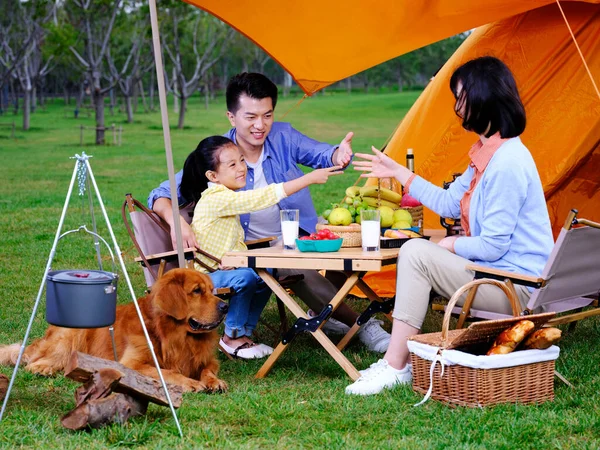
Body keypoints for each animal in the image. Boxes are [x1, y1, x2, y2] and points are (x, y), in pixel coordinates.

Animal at [0, 268, 230, 392]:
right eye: (197, 291)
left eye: (212, 291)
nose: (225, 307)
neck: (170, 335)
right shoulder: (132, 363)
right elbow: (168, 372)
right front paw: (190, 383)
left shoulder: (207, 359)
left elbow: (207, 369)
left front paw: (214, 381)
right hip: (73, 334)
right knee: (36, 361)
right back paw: (43, 368)